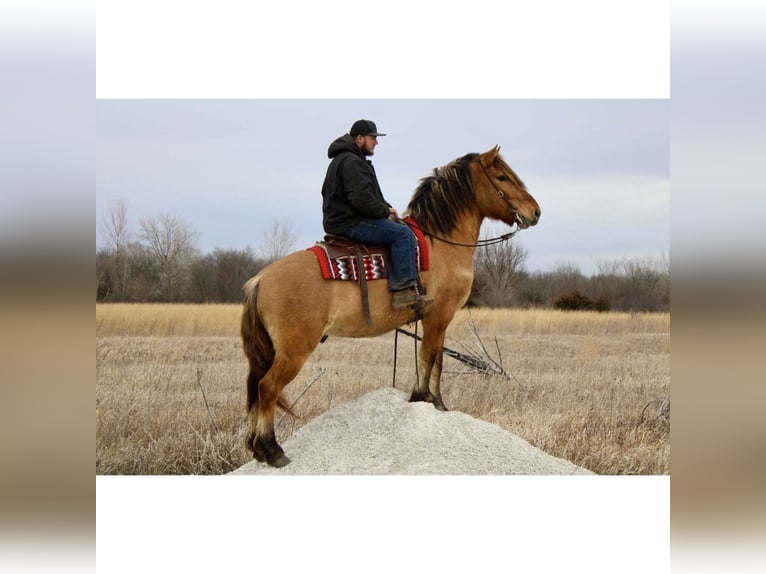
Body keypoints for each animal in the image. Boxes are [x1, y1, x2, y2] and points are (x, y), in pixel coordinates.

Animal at [241, 146, 541, 467]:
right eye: (502, 177)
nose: (535, 212)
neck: (441, 243)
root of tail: (260, 279)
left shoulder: (439, 319)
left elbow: (436, 359)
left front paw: (438, 403)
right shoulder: (438, 315)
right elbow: (429, 357)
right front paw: (425, 398)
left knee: (256, 387)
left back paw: (258, 449)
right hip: (294, 350)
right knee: (267, 387)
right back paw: (272, 450)